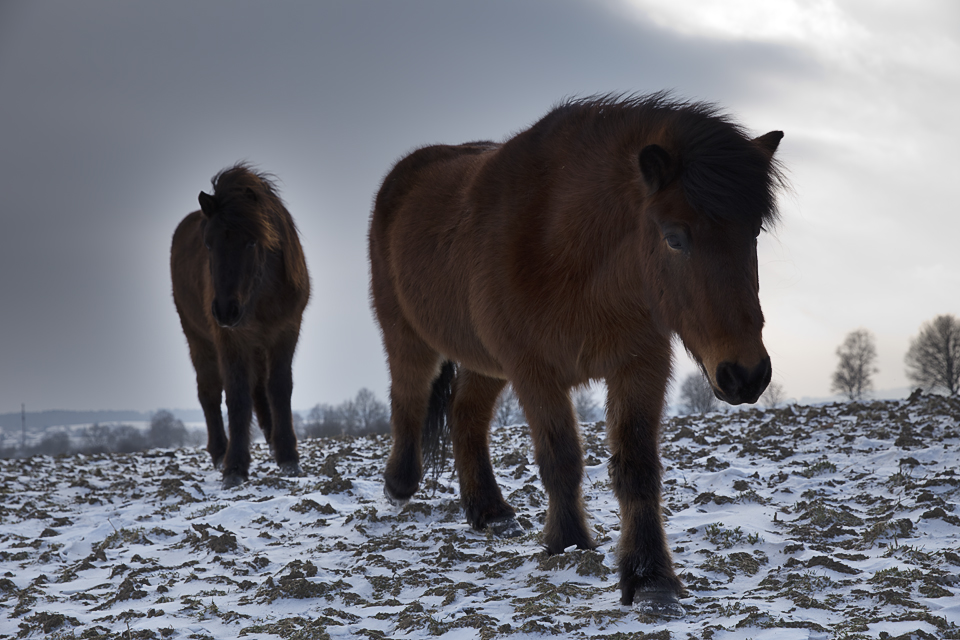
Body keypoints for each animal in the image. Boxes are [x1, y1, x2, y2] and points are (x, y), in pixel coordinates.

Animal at [171, 162, 310, 488]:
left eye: (251, 241)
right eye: (208, 243)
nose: (225, 310)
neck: (262, 294)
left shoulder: (286, 331)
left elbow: (279, 387)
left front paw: (288, 456)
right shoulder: (230, 340)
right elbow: (236, 394)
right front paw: (234, 466)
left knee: (260, 389)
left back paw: (271, 441)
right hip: (198, 338)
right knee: (209, 391)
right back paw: (220, 452)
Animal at [372, 94, 784, 616]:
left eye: (753, 232)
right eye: (674, 237)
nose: (745, 374)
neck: (566, 249)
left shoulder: (640, 365)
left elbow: (637, 468)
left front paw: (650, 579)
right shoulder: (534, 371)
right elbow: (560, 458)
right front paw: (568, 545)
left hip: (485, 362)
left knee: (465, 414)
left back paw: (491, 512)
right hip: (407, 335)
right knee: (408, 394)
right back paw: (400, 485)